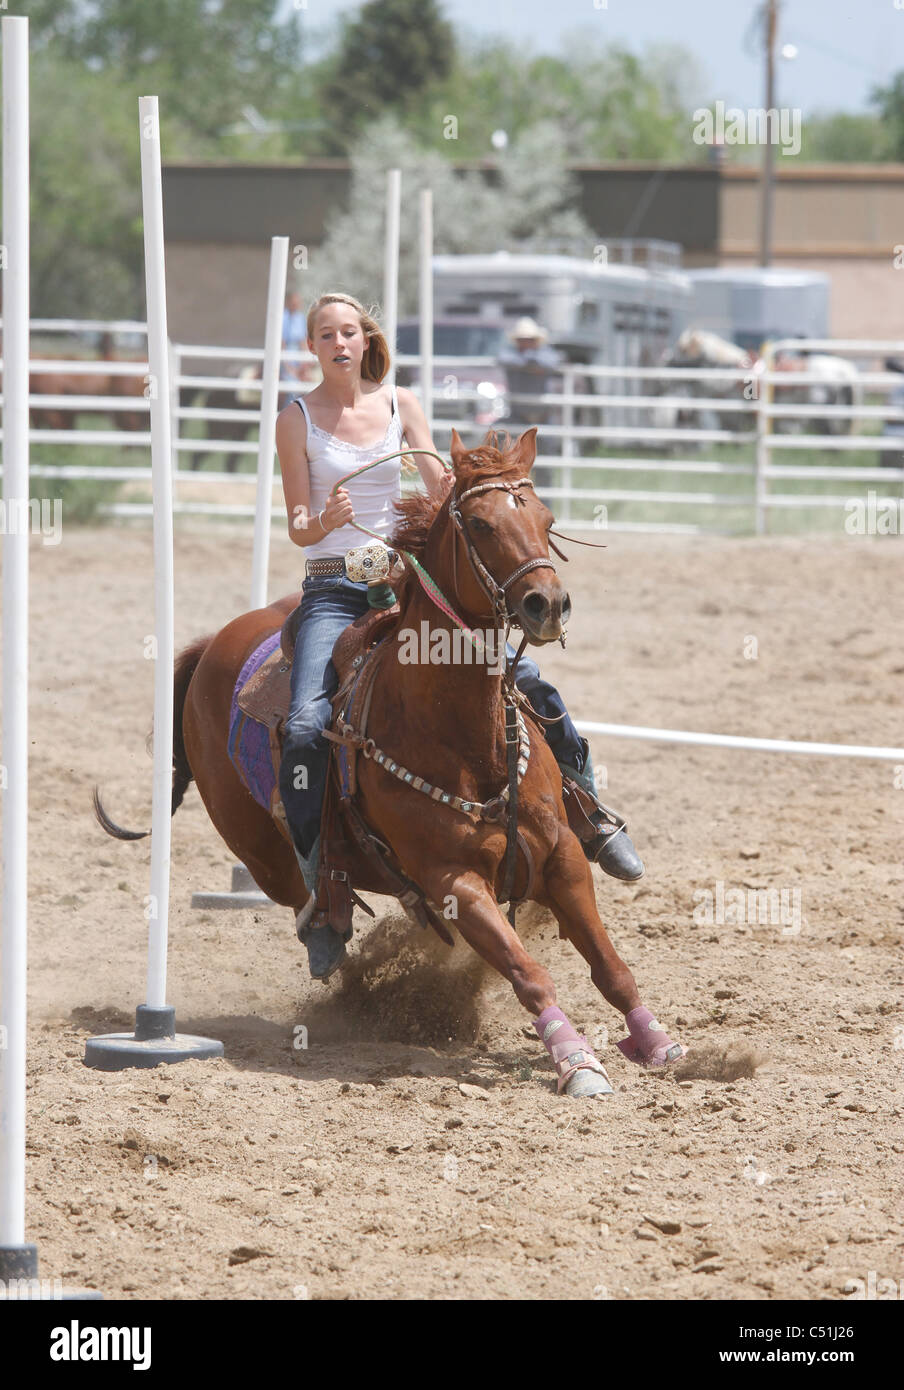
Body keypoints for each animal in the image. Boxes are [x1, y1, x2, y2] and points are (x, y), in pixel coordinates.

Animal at [95, 422, 684, 1095]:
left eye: (546, 517)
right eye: (479, 524)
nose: (548, 605)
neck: (461, 738)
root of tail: (211, 646)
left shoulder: (562, 857)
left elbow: (611, 965)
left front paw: (657, 1043)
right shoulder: (454, 881)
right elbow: (528, 971)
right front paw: (576, 1062)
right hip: (262, 857)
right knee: (310, 900)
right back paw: (334, 949)